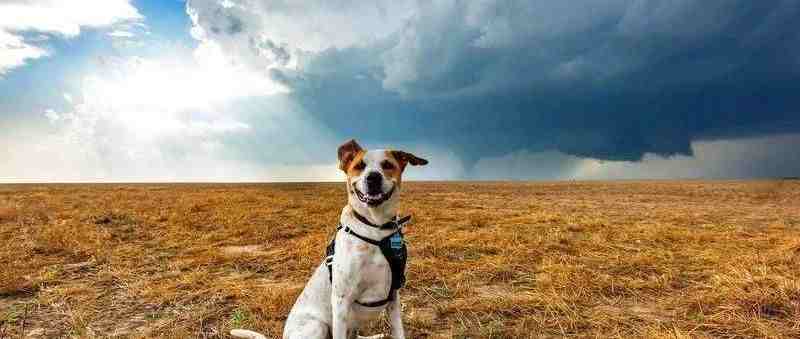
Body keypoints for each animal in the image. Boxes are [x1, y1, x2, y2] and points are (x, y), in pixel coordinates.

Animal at [231, 139, 428, 338]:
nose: (373, 178)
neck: (375, 228)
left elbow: (398, 332)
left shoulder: (393, 297)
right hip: (317, 326)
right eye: (359, 166)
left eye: (387, 165)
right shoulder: (341, 302)